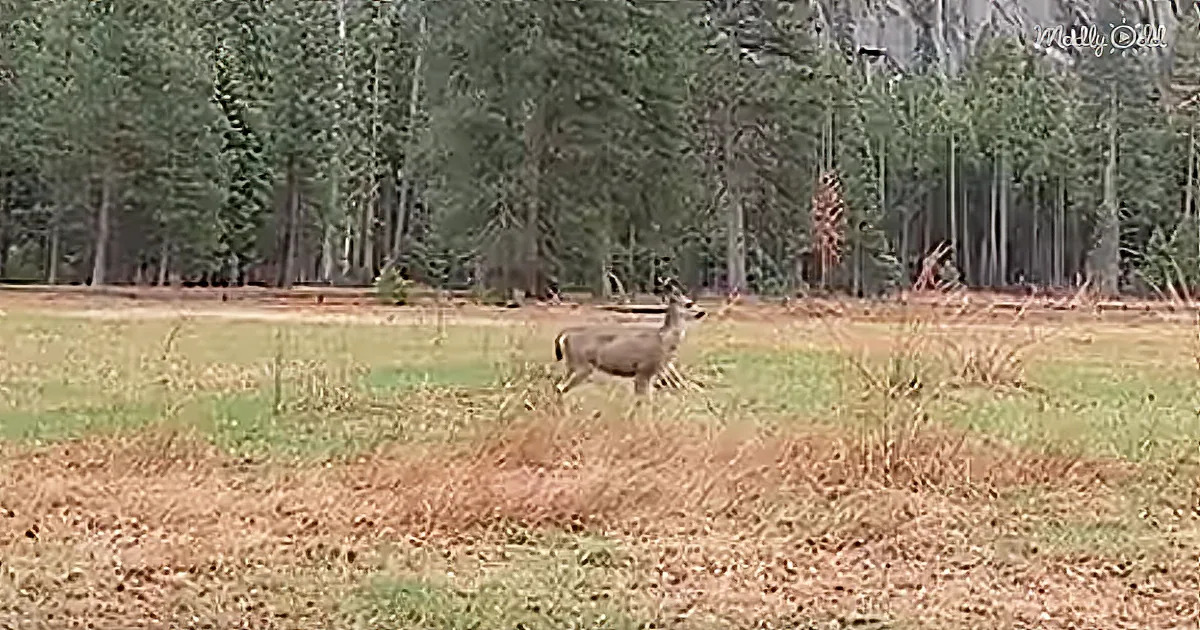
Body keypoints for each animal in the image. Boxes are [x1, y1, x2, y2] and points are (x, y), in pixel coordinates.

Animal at [552, 287, 705, 399]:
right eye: (689, 303)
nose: (702, 312)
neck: (663, 340)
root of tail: (566, 334)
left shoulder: (650, 372)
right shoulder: (644, 369)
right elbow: (643, 399)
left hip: (571, 365)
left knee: (558, 387)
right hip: (581, 364)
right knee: (561, 388)